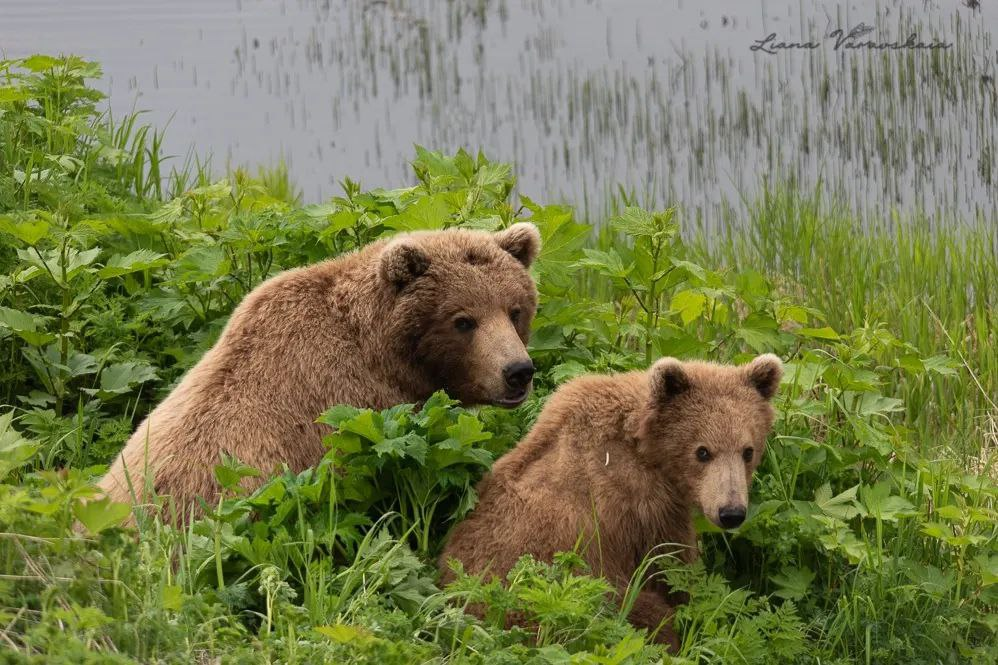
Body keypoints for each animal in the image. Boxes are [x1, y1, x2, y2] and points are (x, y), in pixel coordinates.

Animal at [442, 352, 784, 648]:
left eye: (748, 451)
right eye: (702, 451)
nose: (731, 512)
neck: (645, 446)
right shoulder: (644, 507)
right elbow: (670, 572)